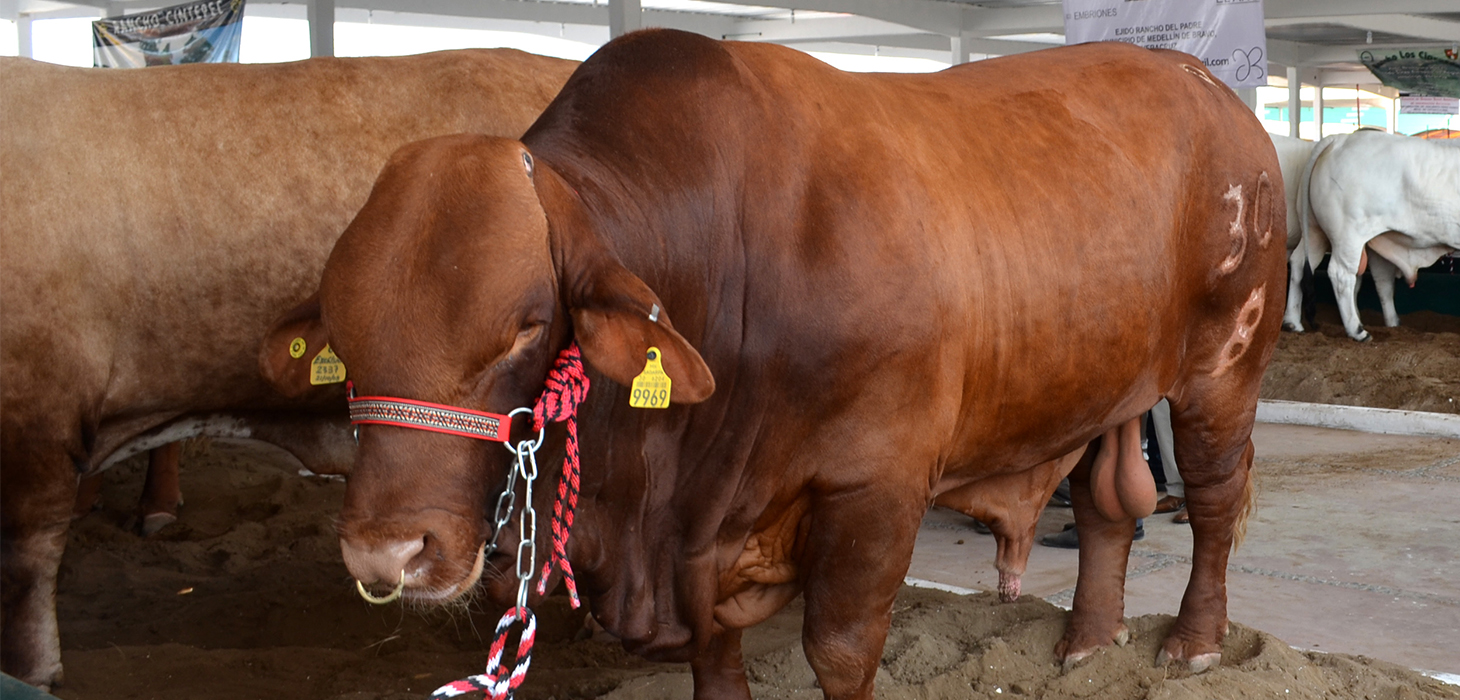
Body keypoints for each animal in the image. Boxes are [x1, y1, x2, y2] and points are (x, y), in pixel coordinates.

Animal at [259, 30, 1278, 698]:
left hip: (1224, 367)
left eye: (525, 327)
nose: (386, 552)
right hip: (1107, 379)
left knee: (1215, 501)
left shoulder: (876, 488)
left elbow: (840, 651)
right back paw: (1086, 640)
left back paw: (1193, 641)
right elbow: (715, 662)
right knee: (1107, 505)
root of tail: (1208, 86)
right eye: (345, 334)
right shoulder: (700, 554)